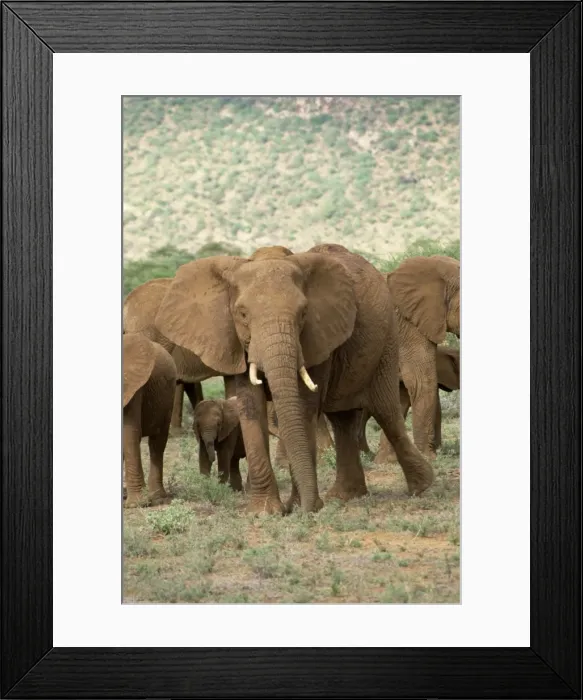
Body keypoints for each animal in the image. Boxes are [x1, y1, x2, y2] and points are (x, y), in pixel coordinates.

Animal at [123, 332, 177, 507]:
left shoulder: (134, 386)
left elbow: (129, 432)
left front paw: (135, 505)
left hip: (168, 396)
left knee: (157, 444)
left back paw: (157, 497)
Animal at [154, 242, 434, 514]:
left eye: (303, 313)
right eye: (242, 314)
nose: (309, 509)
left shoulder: (318, 336)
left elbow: (303, 406)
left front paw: (299, 506)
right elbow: (251, 406)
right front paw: (265, 512)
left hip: (387, 340)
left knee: (385, 410)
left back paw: (423, 488)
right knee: (343, 419)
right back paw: (344, 496)